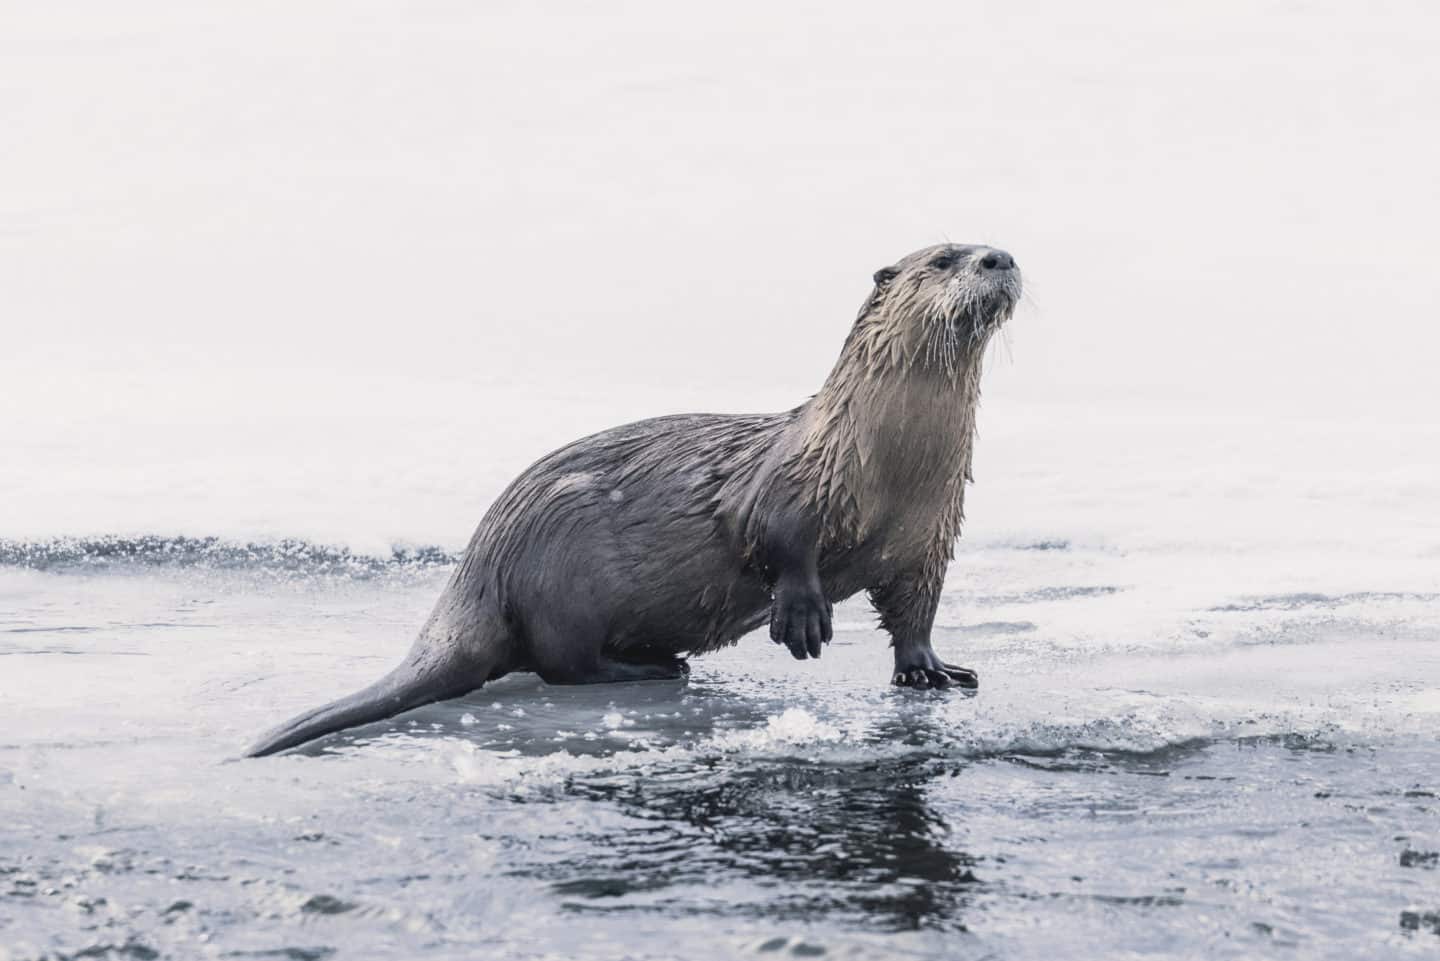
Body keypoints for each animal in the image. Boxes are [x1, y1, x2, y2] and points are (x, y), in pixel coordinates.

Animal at [244, 246, 1013, 760]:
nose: (998, 256)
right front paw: (801, 615)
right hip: (563, 556)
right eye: (944, 257)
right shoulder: (791, 480)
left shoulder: (929, 533)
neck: (893, 464)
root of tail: (481, 564)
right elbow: (776, 537)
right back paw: (657, 666)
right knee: (563, 662)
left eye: (986, 245)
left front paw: (933, 671)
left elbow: (916, 608)